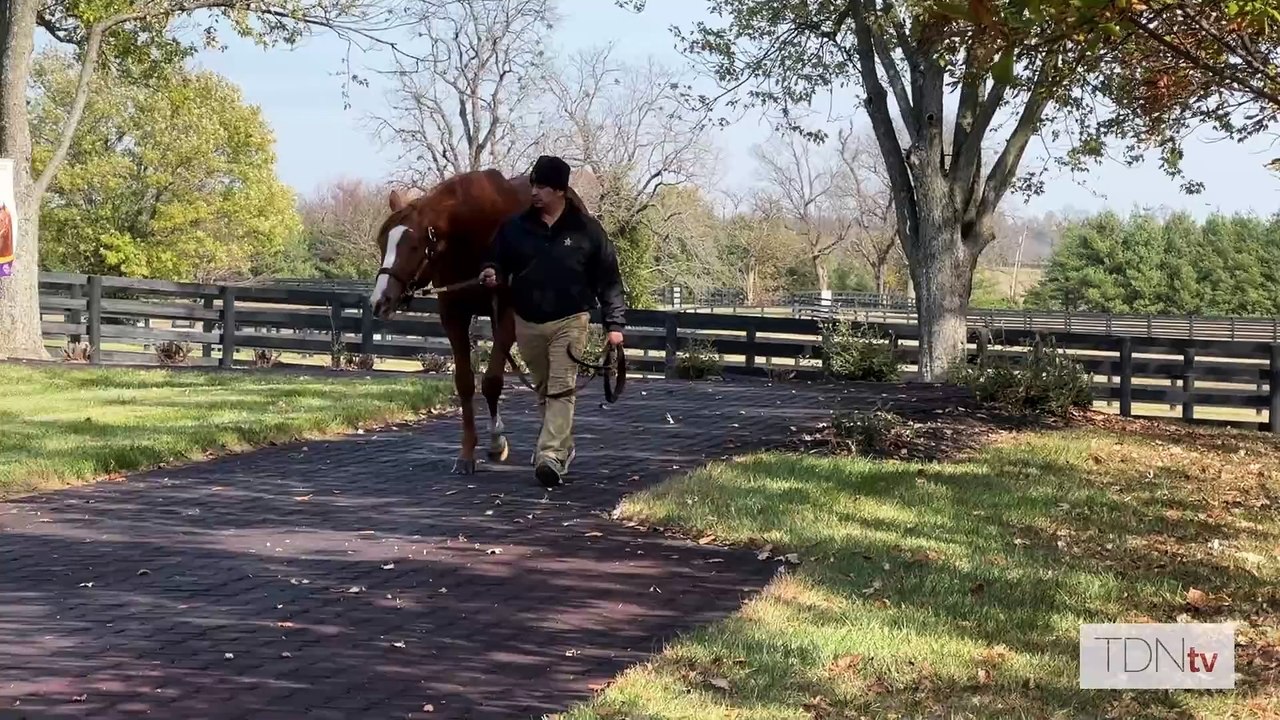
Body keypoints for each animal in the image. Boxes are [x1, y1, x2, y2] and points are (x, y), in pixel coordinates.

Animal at [367, 168, 591, 475]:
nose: (380, 301)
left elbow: (492, 382)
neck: (470, 237)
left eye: (413, 246)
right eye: (381, 242)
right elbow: (464, 382)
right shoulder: (453, 315)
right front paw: (467, 454)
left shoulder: (507, 316)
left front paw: (497, 443)